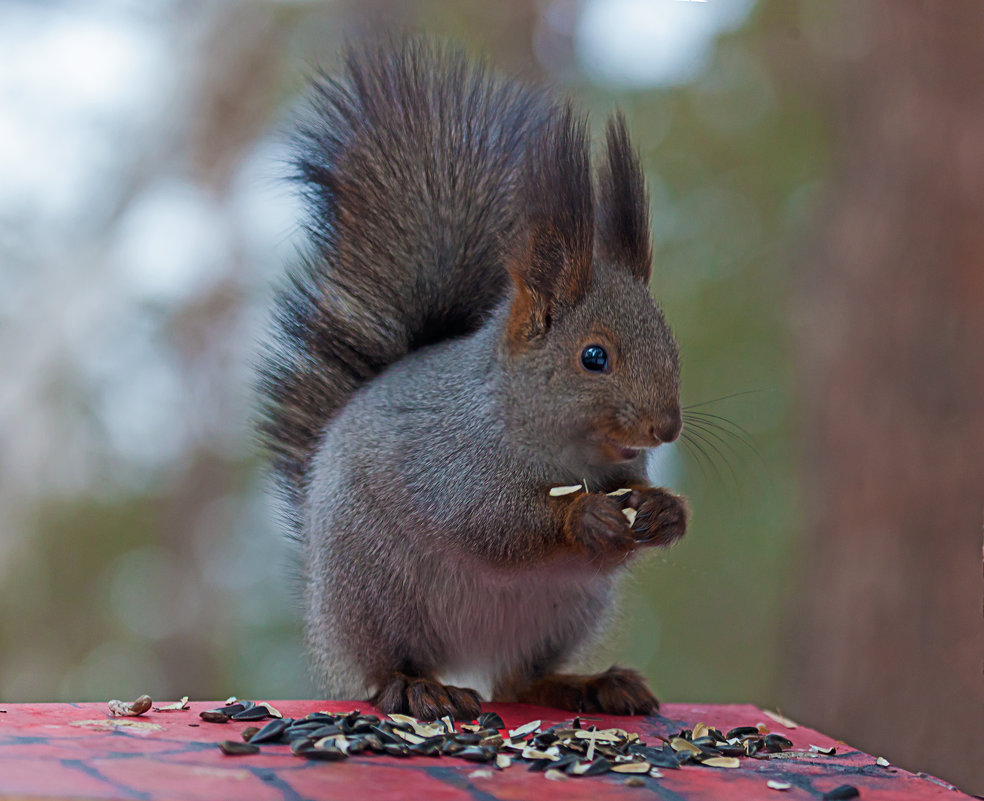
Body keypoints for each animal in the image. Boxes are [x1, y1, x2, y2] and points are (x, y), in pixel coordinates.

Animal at [258, 40, 688, 720]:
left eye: (671, 343)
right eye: (594, 357)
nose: (664, 428)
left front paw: (664, 511)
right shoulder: (453, 463)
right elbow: (489, 522)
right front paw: (586, 517)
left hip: (561, 615)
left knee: (517, 681)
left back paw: (588, 684)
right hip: (375, 593)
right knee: (384, 671)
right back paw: (415, 687)